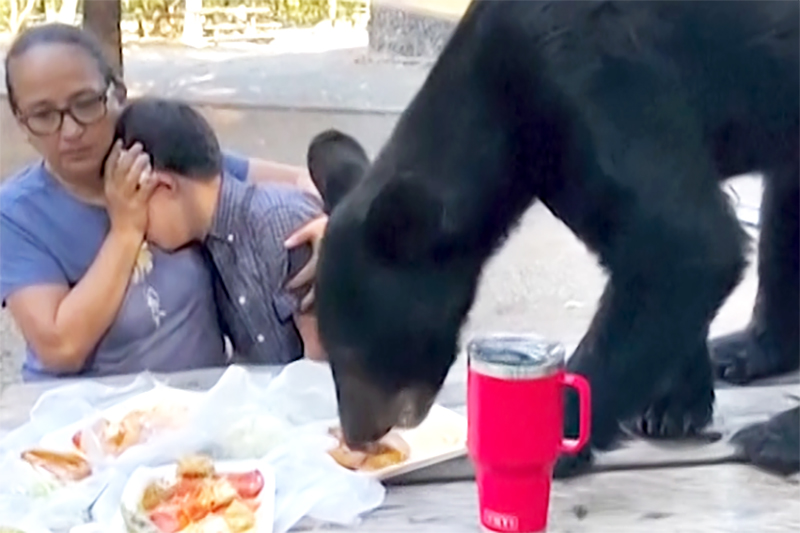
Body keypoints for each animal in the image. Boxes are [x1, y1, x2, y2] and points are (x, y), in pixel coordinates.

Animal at [304, 0, 796, 476]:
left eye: (356, 353)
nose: (358, 434)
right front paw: (675, 404)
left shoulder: (599, 81)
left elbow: (684, 245)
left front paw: (553, 439)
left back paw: (775, 436)